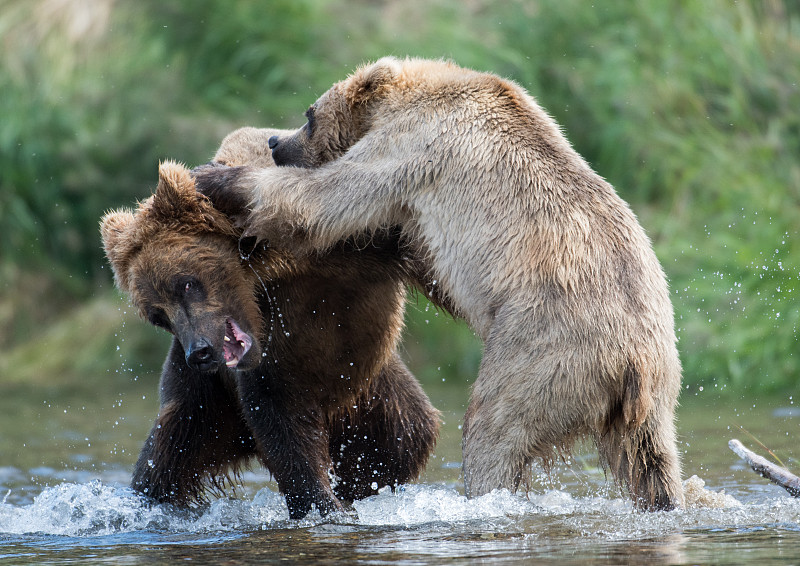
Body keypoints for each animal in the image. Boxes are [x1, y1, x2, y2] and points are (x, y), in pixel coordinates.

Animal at [101, 131, 440, 520]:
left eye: (185, 284)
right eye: (158, 316)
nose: (199, 352)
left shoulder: (356, 236)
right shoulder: (273, 352)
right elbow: (281, 422)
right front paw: (322, 503)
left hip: (369, 393)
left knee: (405, 436)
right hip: (203, 402)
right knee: (164, 461)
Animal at [195, 56, 688, 510]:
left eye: (310, 113)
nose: (278, 142)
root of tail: (634, 363)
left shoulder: (412, 147)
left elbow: (324, 199)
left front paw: (219, 178)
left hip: (547, 348)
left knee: (494, 428)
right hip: (658, 389)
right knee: (650, 459)